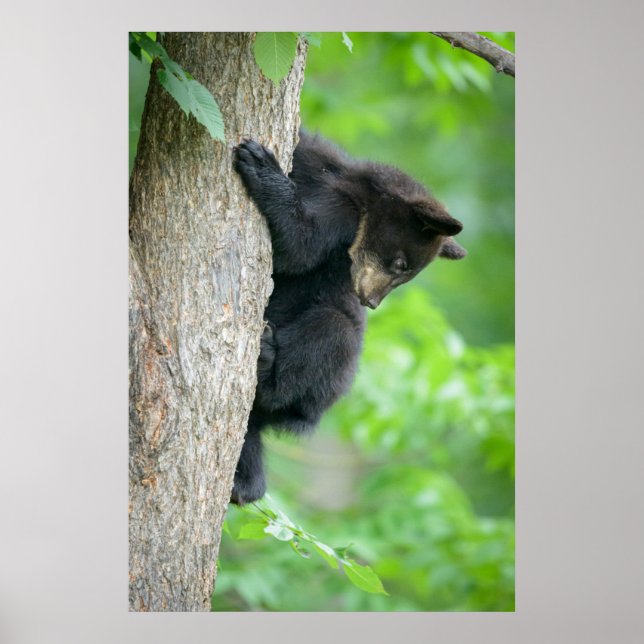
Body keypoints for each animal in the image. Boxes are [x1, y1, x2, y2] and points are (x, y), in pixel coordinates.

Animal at [231, 131, 466, 505]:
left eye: (405, 273)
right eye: (400, 264)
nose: (370, 301)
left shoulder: (342, 218)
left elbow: (300, 247)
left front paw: (261, 165)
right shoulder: (318, 164)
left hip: (328, 378)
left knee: (329, 335)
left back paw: (267, 365)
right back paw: (244, 483)